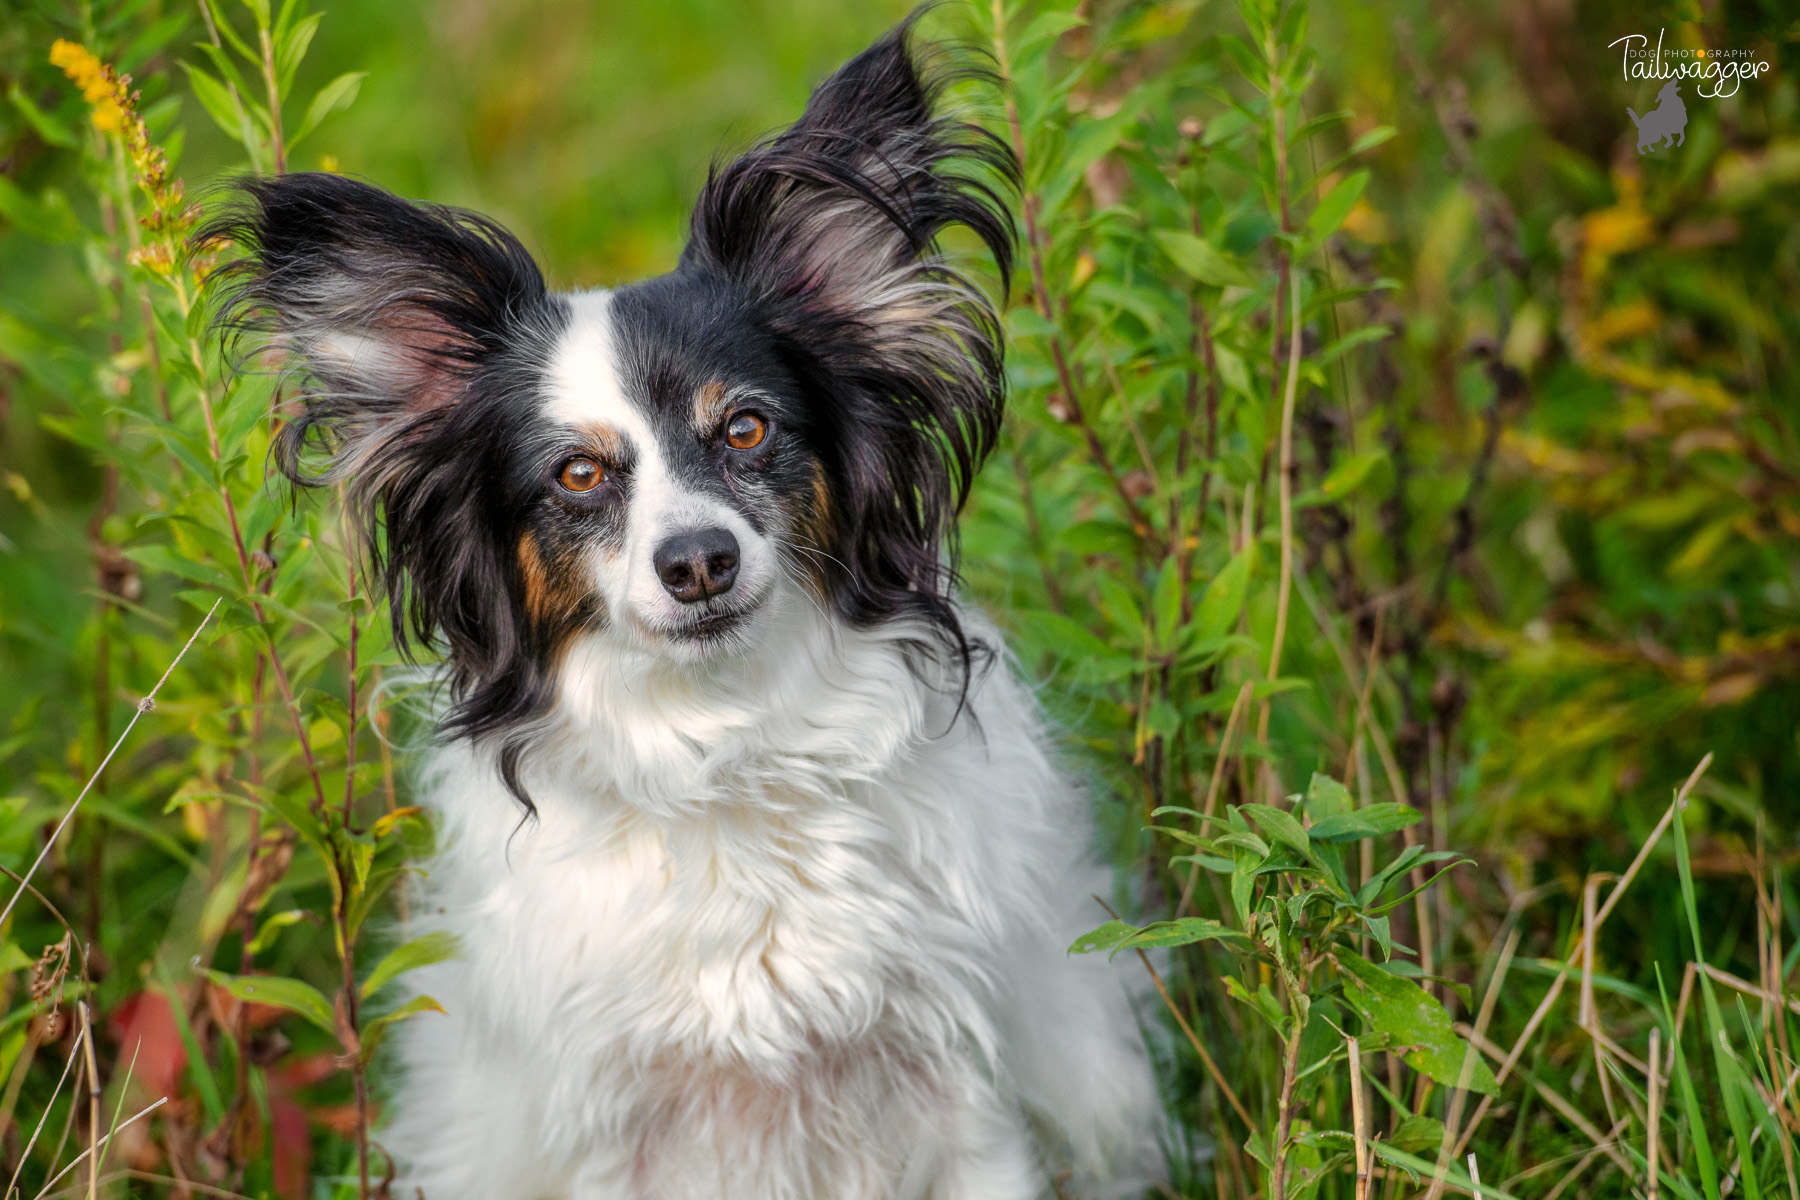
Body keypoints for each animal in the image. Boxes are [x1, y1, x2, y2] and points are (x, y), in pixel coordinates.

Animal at [217, 16, 1159, 1200]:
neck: (727, 745)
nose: (700, 561)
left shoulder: (961, 1094)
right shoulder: (616, 1130)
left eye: (747, 429)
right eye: (577, 475)